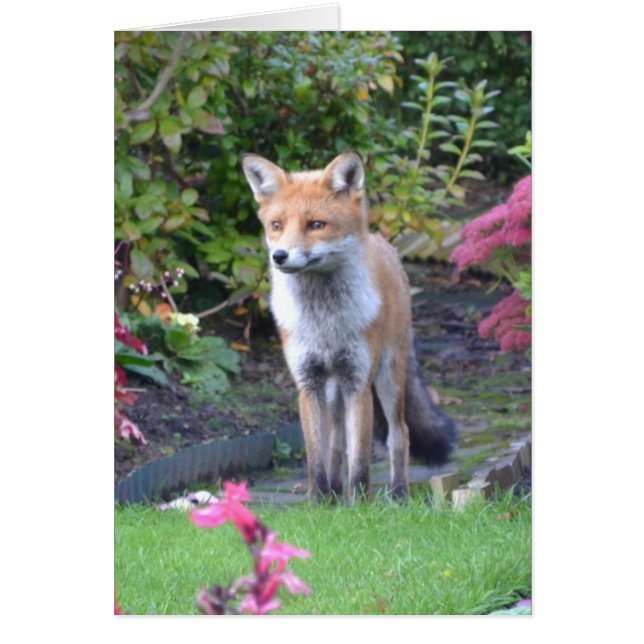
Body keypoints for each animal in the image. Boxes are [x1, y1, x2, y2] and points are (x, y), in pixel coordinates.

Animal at [242, 151, 457, 502]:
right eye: (276, 226)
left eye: (316, 225)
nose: (280, 256)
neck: (325, 322)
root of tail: (384, 244)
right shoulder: (308, 383)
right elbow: (317, 456)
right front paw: (318, 501)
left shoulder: (358, 382)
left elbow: (360, 459)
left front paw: (360, 505)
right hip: (333, 391)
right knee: (336, 442)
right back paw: (334, 494)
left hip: (387, 377)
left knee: (400, 434)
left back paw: (399, 494)